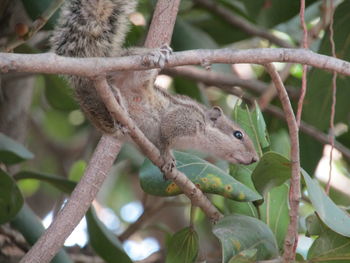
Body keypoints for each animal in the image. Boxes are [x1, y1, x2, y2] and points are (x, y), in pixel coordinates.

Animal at [50, 0, 258, 171]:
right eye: (238, 135)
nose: (255, 159)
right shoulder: (182, 118)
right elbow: (165, 136)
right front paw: (167, 155)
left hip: (96, 109)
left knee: (107, 122)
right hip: (130, 70)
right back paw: (148, 60)